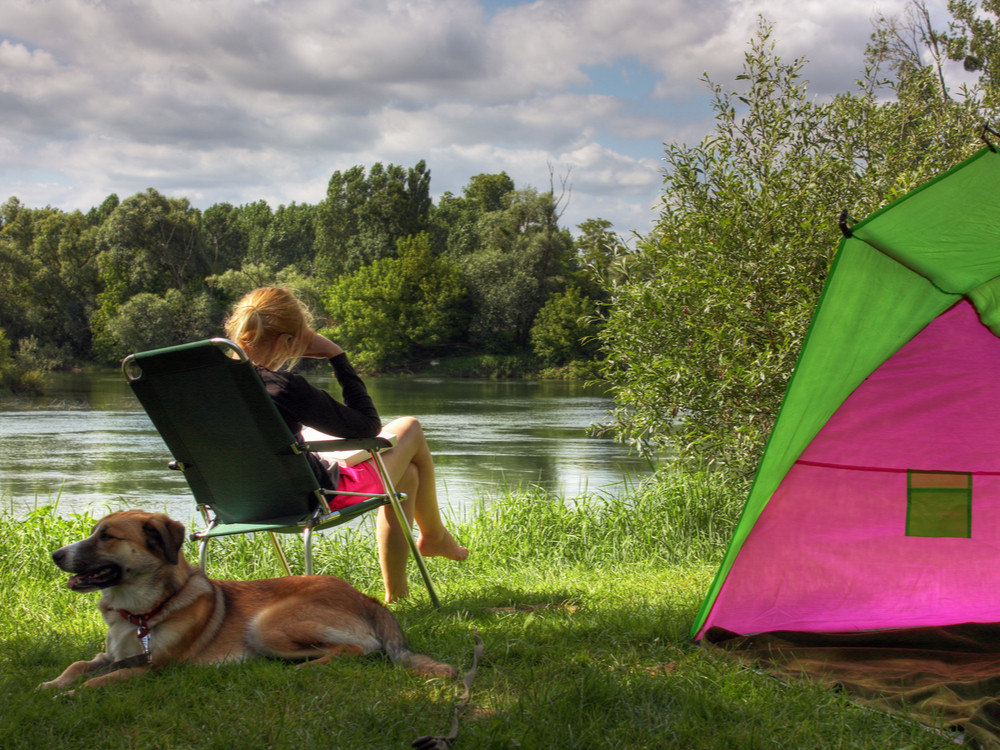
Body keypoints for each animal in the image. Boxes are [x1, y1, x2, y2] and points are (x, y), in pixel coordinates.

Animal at [38, 512, 458, 692]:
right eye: (95, 531)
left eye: (106, 536)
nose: (55, 555)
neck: (140, 613)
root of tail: (365, 597)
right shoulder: (111, 655)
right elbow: (79, 664)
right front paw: (52, 683)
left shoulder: (154, 667)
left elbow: (104, 680)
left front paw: (72, 694)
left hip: (265, 626)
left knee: (357, 650)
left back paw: (302, 670)